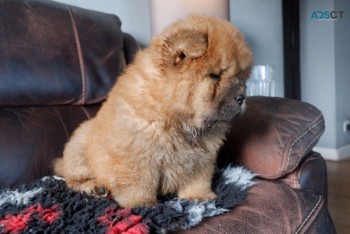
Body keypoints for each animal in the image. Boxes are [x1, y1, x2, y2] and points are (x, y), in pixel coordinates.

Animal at [54, 14, 252, 207]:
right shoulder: (137, 154)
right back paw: (94, 188)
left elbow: (198, 178)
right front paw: (141, 203)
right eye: (215, 76)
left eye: (239, 75)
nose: (242, 96)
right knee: (72, 179)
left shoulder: (202, 157)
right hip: (79, 147)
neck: (177, 120)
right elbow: (140, 182)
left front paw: (199, 197)